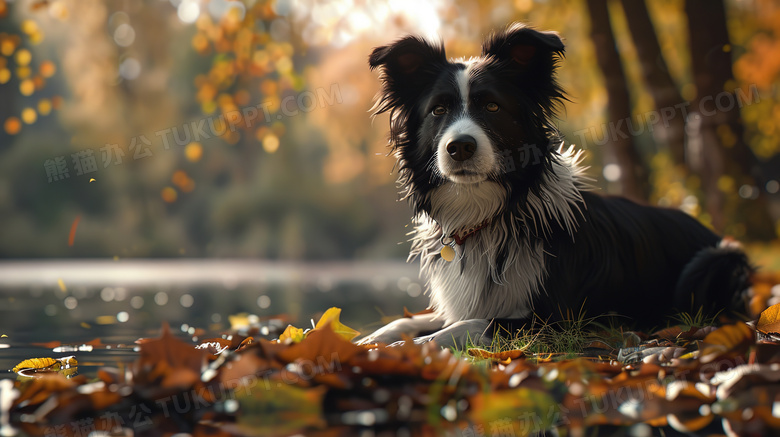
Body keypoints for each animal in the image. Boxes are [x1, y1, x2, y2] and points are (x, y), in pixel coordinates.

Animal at [358, 23, 748, 346]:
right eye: (438, 110)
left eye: (492, 106)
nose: (460, 147)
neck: (490, 212)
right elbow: (409, 322)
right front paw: (368, 340)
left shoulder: (556, 319)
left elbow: (470, 325)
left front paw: (408, 348)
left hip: (715, 261)